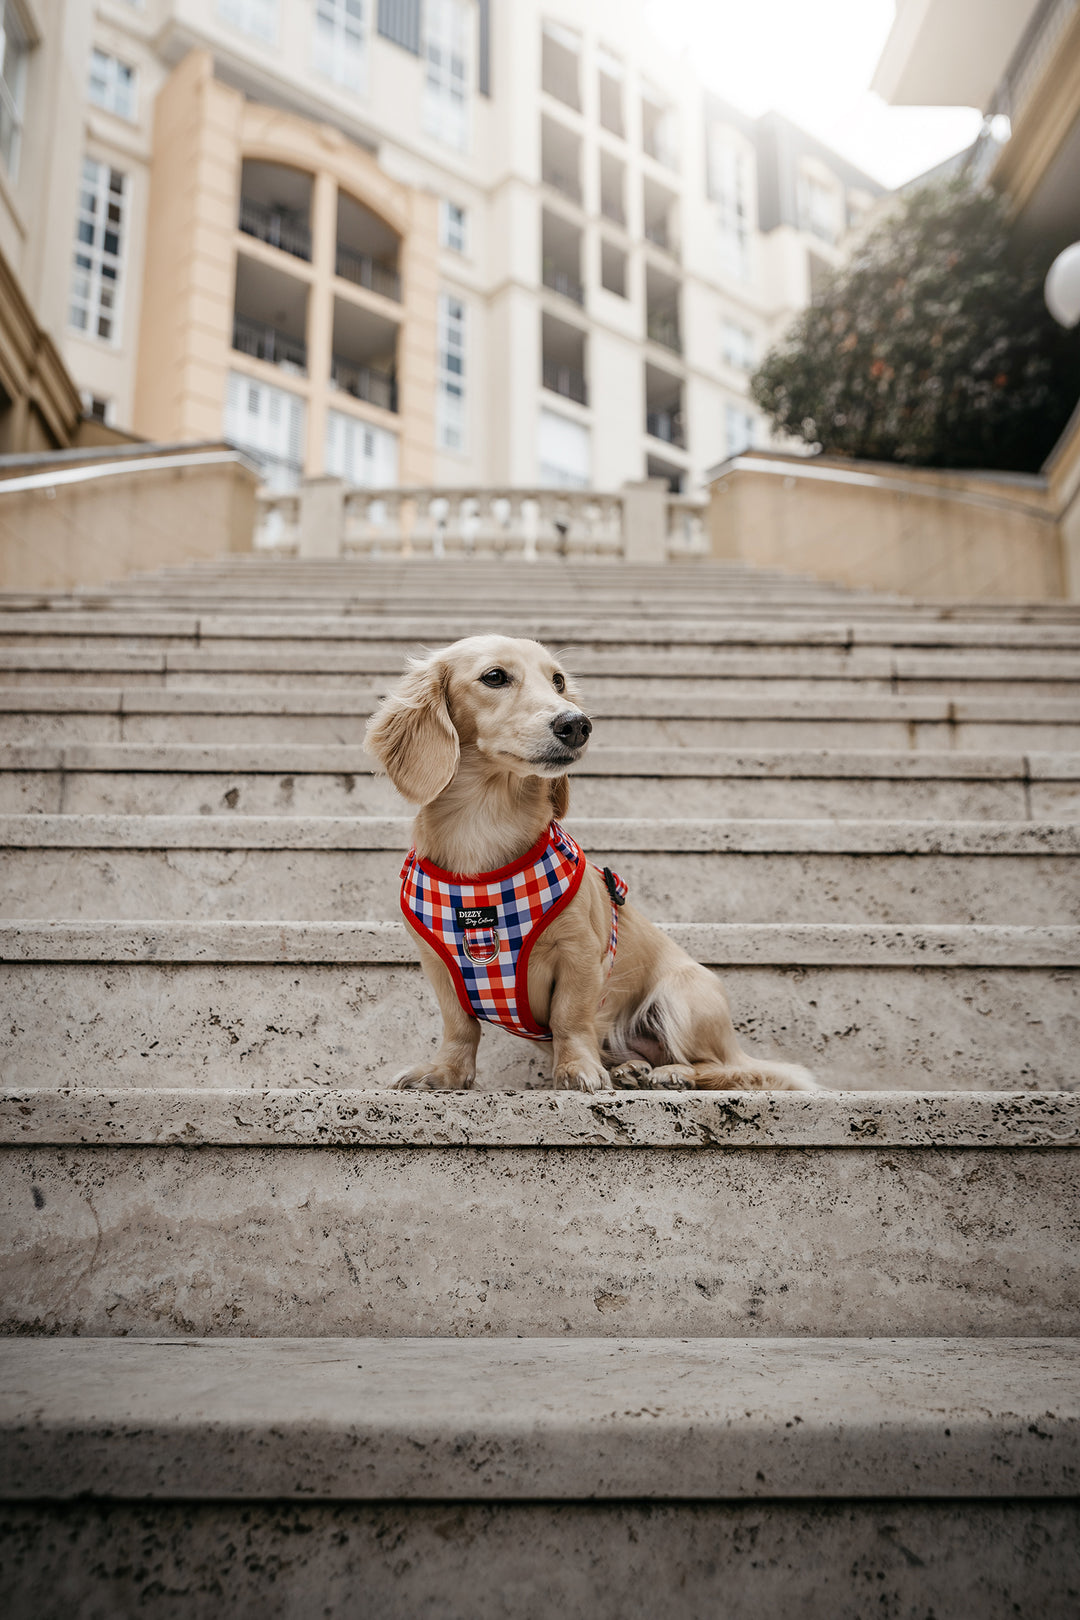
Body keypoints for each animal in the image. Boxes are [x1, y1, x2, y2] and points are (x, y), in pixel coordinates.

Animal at [367, 638, 816, 1095]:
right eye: (494, 676)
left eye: (559, 681)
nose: (577, 725)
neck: (483, 825)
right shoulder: (440, 966)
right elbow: (460, 1026)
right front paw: (446, 1072)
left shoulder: (581, 953)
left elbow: (571, 1017)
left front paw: (575, 1067)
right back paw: (631, 1068)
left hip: (685, 996)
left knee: (720, 1067)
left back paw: (674, 1073)